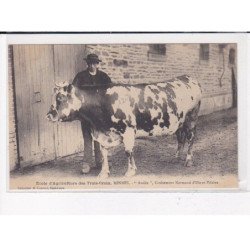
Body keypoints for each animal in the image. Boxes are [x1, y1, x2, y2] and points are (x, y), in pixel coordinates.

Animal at [47, 74, 202, 178]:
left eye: (60, 98)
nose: (48, 115)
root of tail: (188, 77)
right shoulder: (103, 134)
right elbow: (103, 153)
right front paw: (104, 173)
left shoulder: (128, 130)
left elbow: (128, 151)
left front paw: (130, 171)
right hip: (179, 123)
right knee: (180, 139)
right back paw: (176, 157)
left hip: (191, 119)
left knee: (190, 139)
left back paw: (188, 160)